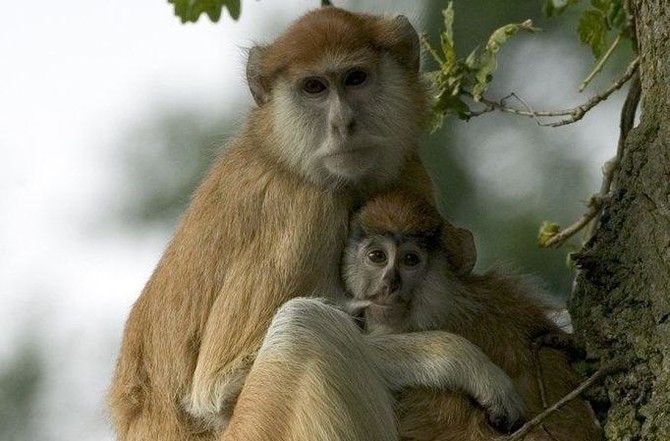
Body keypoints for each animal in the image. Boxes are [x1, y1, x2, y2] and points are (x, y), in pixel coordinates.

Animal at [108, 7, 525, 441]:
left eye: (355, 78)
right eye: (314, 87)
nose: (343, 124)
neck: (283, 153)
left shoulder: (407, 168)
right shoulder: (305, 211)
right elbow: (218, 390)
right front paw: (462, 362)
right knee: (304, 328)